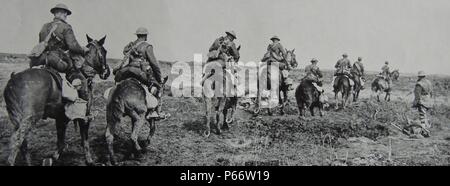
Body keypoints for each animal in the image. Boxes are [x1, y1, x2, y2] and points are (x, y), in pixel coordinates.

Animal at [3, 35, 110, 166]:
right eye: (104, 51)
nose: (107, 72)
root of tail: (12, 81)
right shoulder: (84, 119)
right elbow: (84, 140)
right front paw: (89, 160)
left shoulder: (61, 118)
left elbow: (61, 142)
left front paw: (52, 158)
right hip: (28, 119)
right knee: (17, 141)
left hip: (16, 119)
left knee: (23, 143)